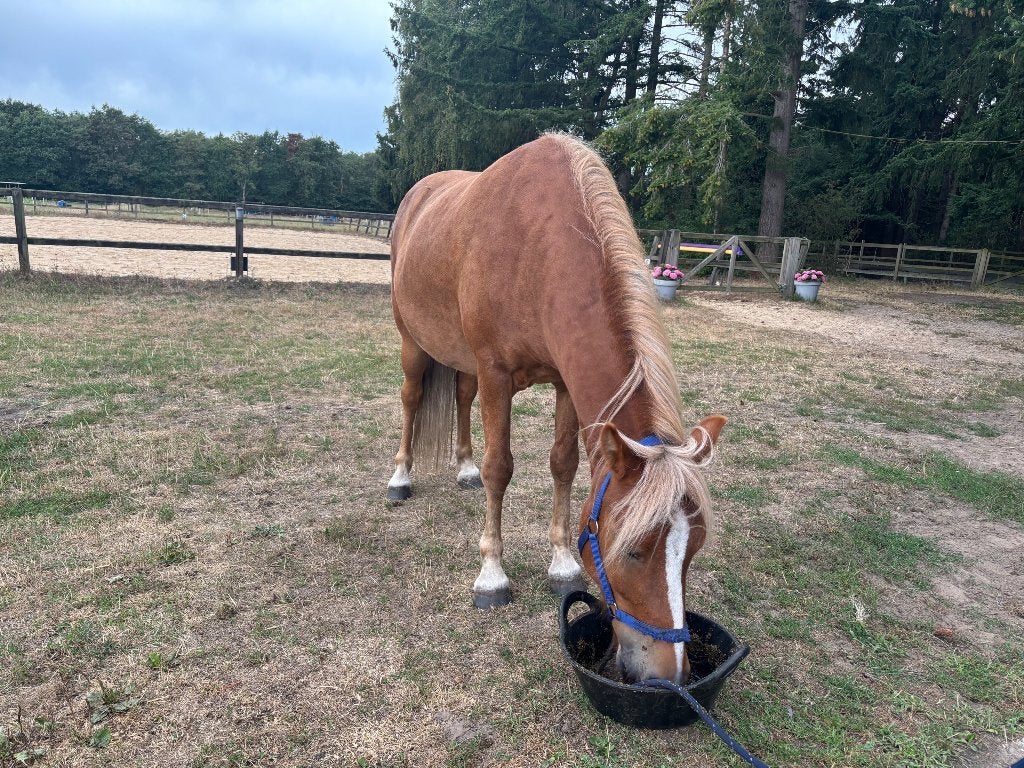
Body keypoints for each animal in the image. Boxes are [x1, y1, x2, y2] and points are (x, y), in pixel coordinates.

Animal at [386, 133, 726, 685]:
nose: (666, 676)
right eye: (634, 551)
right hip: (413, 343)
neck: (538, 247)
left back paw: (462, 468)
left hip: (462, 359)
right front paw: (492, 575)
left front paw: (563, 564)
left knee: (460, 397)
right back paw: (400, 478)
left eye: (692, 549)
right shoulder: (497, 375)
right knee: (412, 400)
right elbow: (500, 469)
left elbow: (563, 464)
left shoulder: (564, 383)